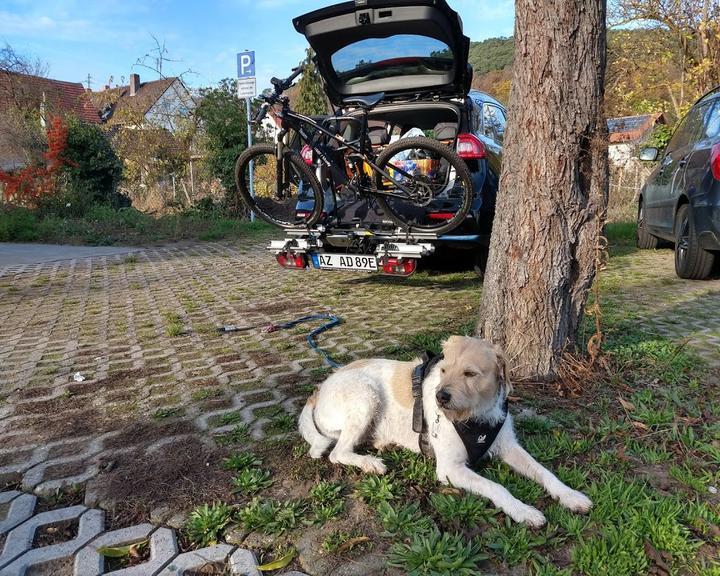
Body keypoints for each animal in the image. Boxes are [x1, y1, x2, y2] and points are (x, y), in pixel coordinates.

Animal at [298, 332, 592, 528]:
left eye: (470, 374)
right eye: (442, 370)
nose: (440, 397)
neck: (475, 416)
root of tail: (319, 390)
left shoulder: (509, 446)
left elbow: (544, 472)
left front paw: (570, 495)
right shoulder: (450, 469)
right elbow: (496, 487)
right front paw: (522, 510)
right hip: (365, 396)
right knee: (337, 453)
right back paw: (370, 463)